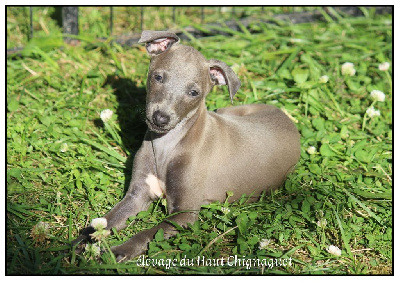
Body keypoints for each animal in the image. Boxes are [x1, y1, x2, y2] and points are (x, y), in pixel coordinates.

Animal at [74, 30, 300, 262]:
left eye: (194, 93)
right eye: (158, 77)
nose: (160, 118)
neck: (167, 145)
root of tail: (285, 116)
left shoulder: (183, 214)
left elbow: (147, 233)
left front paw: (120, 251)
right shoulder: (137, 195)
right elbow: (107, 220)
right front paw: (81, 240)